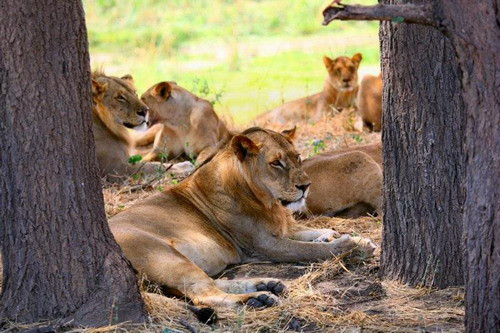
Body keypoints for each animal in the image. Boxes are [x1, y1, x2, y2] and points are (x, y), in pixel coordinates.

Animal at [109, 126, 376, 306]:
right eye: (276, 163)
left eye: (297, 157)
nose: (306, 186)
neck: (268, 203)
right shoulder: (265, 245)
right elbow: (310, 250)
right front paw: (353, 245)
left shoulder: (280, 229)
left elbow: (311, 232)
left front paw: (334, 236)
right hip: (165, 257)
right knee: (204, 295)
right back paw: (256, 299)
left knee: (206, 284)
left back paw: (266, 285)